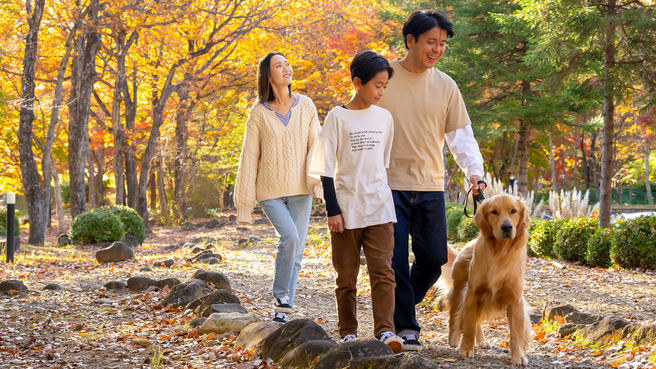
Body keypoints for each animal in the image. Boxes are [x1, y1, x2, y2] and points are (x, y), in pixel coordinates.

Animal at [446, 194, 532, 364]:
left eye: (513, 211)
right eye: (494, 212)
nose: (507, 227)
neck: (500, 252)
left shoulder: (515, 299)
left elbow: (516, 333)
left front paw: (518, 356)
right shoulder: (472, 293)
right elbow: (469, 325)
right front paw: (466, 349)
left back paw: (481, 341)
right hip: (460, 290)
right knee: (455, 313)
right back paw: (453, 339)